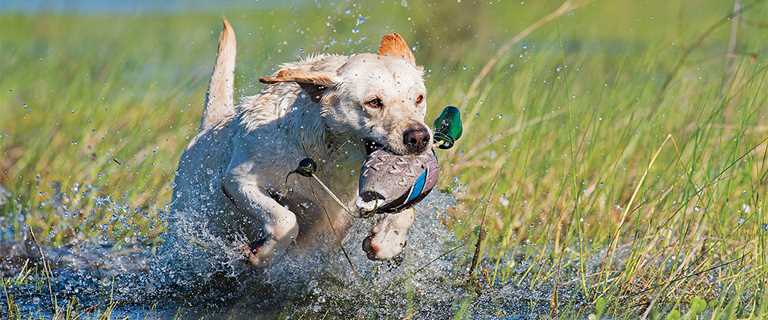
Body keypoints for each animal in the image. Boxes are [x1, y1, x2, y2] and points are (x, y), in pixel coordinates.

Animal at [169, 20, 432, 268]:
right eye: (374, 102)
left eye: (419, 98)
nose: (419, 137)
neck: (326, 155)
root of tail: (211, 124)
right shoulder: (237, 181)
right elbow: (286, 219)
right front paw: (263, 254)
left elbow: (406, 210)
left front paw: (387, 240)